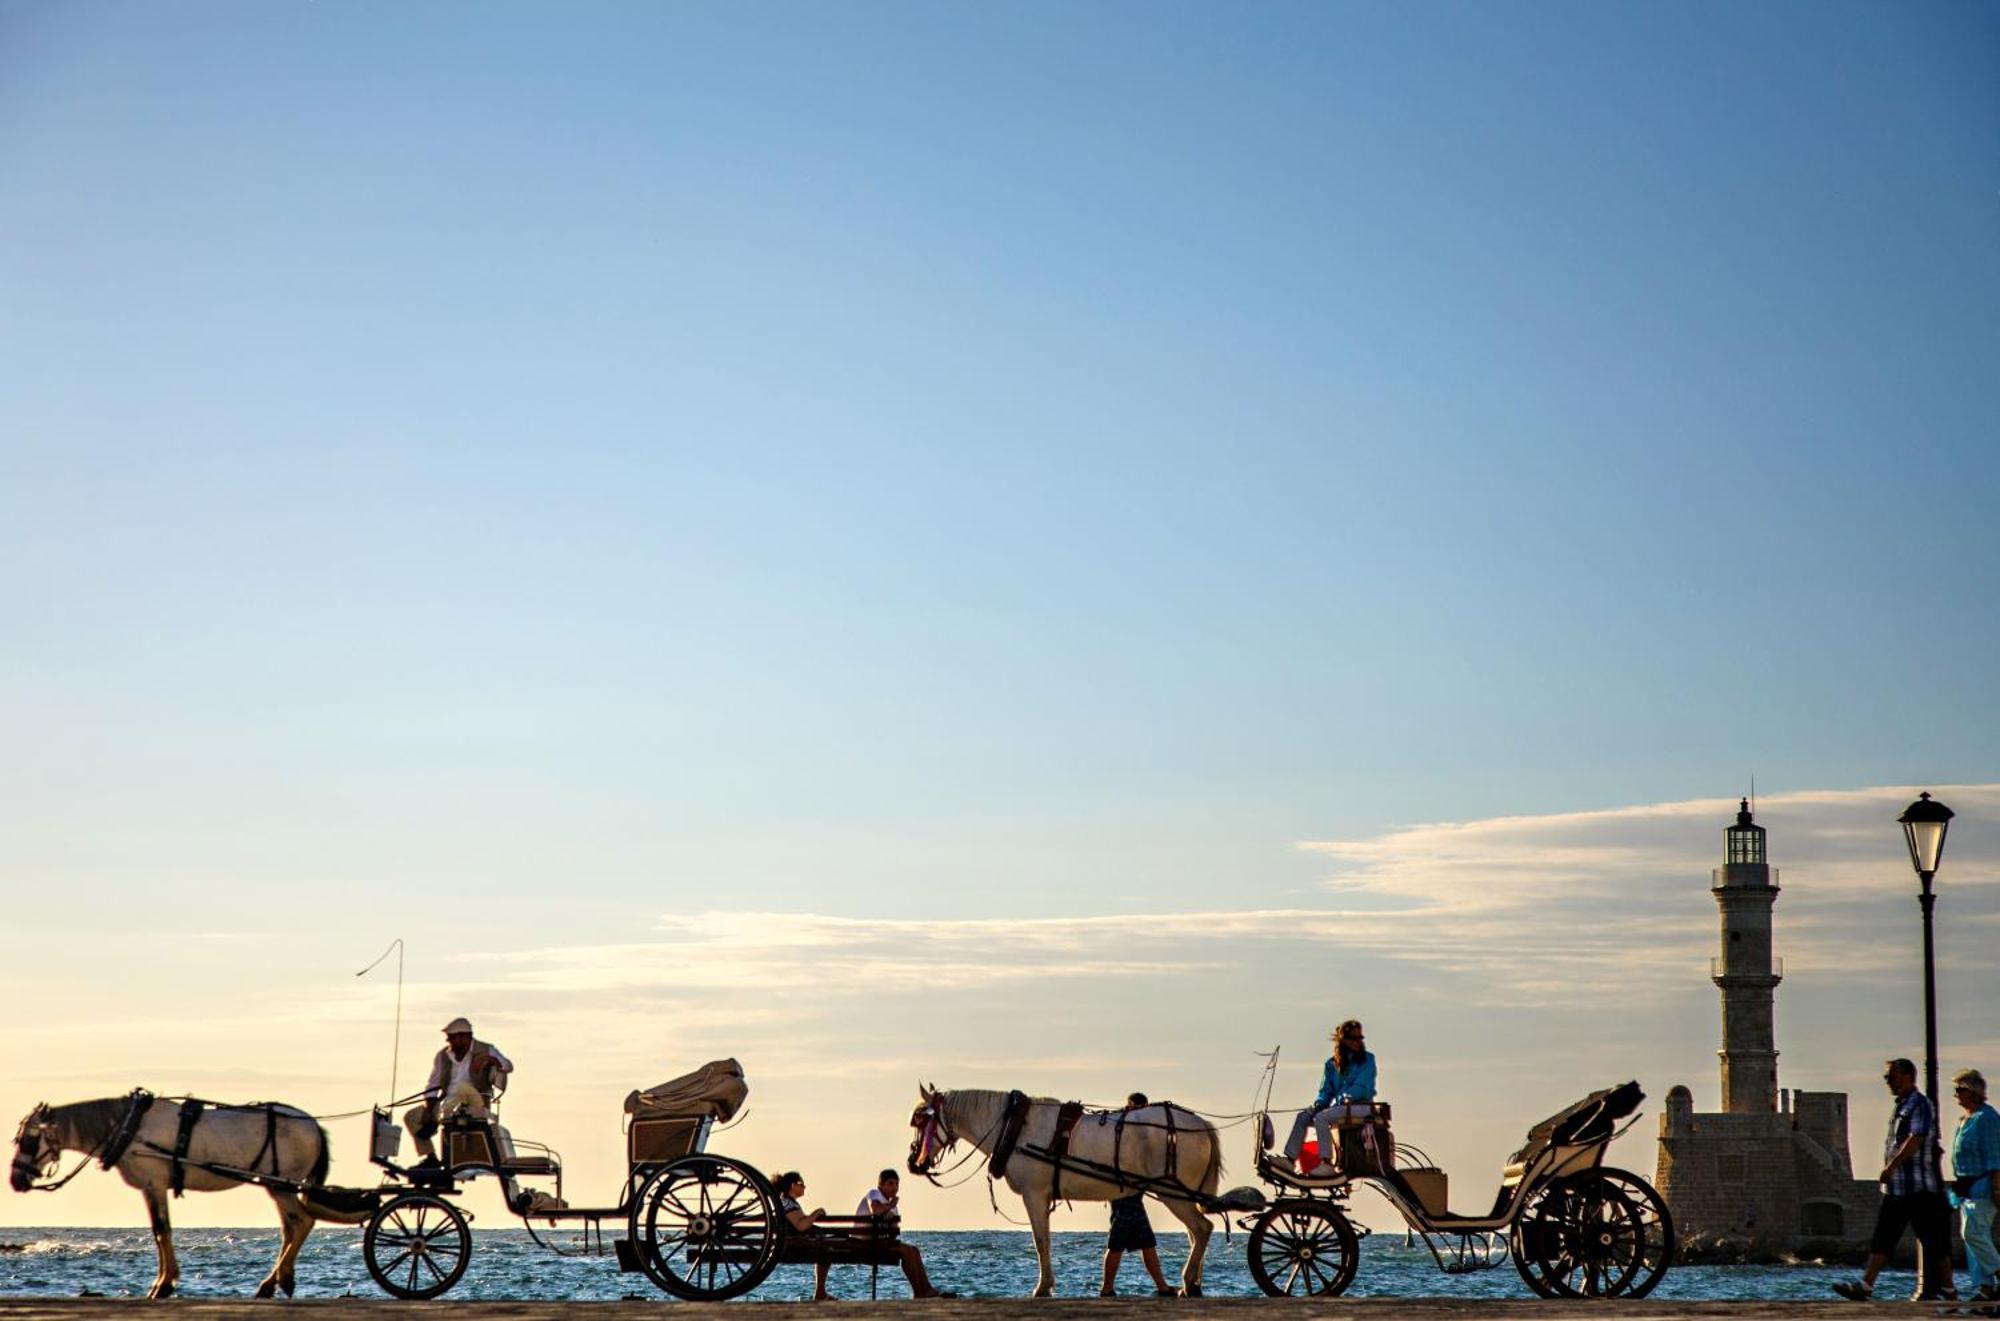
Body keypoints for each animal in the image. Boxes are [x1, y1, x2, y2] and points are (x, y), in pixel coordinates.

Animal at [11, 1088, 350, 1296]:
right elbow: (158, 1232)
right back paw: (275, 1282)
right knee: (290, 1227)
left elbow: (162, 1230)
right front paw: (164, 1281)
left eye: (29, 1139)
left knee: (303, 1222)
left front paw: (162, 1285)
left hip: (281, 1185)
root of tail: (314, 1125)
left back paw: (277, 1281)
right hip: (276, 1185)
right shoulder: (150, 1188)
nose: (15, 1181)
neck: (130, 1126)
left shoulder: (154, 1183)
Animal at [908, 1088, 1216, 1296]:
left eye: (921, 1122)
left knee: (1202, 1228)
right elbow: (1045, 1240)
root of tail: (1202, 1125)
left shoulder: (1034, 1194)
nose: (913, 1162)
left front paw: (1042, 1287)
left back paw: (1188, 1281)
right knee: (1194, 1233)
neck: (1014, 1127)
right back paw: (1194, 1283)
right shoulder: (1042, 1197)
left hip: (1172, 1192)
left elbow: (1040, 1241)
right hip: (1183, 1195)